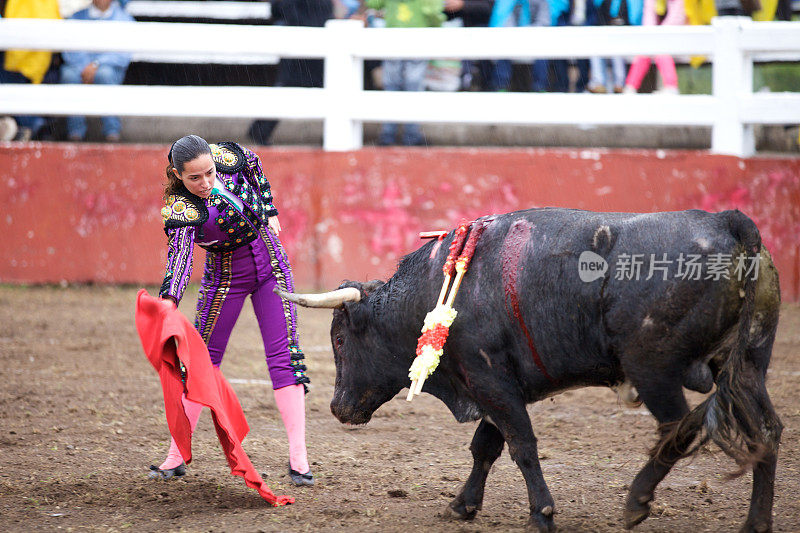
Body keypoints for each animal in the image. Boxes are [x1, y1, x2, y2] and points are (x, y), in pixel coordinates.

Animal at [276, 209, 780, 532]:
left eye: (340, 340)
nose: (338, 408)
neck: (436, 290)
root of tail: (728, 222)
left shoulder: (489, 381)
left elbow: (521, 445)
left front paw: (542, 514)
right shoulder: (496, 386)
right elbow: (486, 446)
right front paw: (462, 505)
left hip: (652, 368)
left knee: (681, 427)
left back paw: (636, 502)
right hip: (747, 364)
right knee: (765, 431)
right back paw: (755, 522)